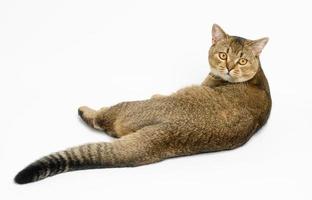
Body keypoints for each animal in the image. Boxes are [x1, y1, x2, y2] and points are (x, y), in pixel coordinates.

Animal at [14, 24, 270, 184]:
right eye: (223, 55)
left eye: (242, 60)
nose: (229, 68)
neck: (257, 77)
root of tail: (169, 134)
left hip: (128, 107)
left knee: (104, 121)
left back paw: (87, 111)